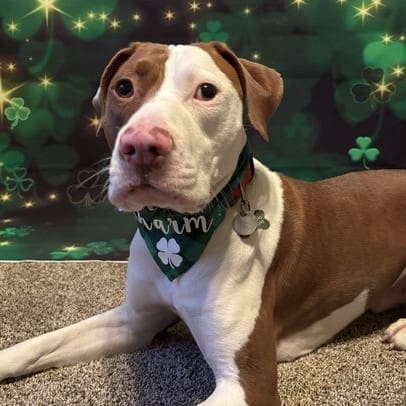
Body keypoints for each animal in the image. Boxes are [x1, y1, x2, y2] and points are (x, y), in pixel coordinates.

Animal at [0, 41, 405, 405]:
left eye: (206, 91)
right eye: (124, 87)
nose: (141, 145)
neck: (176, 234)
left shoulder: (248, 383)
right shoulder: (134, 322)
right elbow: (39, 344)